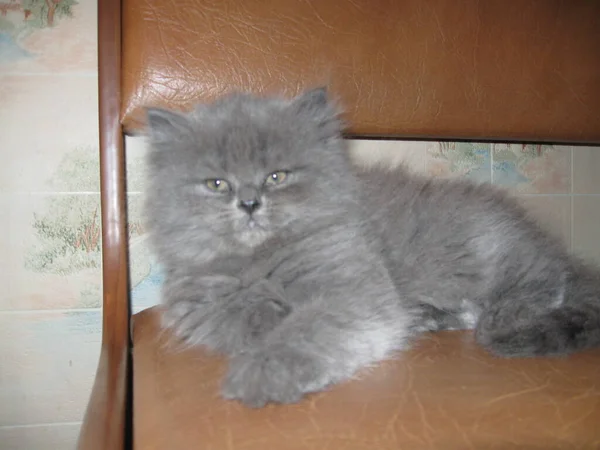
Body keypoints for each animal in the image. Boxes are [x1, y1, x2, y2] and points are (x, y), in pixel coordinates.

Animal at [144, 87, 600, 408]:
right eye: (216, 183)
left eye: (277, 176)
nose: (250, 203)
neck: (259, 259)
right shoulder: (198, 308)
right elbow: (241, 316)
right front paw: (266, 314)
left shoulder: (351, 286)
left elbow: (306, 329)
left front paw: (262, 372)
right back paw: (428, 317)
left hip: (483, 249)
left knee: (543, 279)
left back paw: (506, 312)